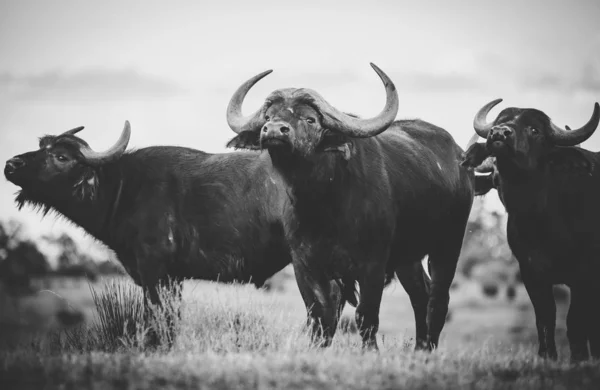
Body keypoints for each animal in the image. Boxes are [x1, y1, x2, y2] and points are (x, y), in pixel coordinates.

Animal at [3, 121, 346, 344]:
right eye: (41, 147)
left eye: (61, 156)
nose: (11, 164)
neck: (124, 188)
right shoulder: (172, 278)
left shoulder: (155, 270)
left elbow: (158, 320)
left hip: (309, 262)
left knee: (323, 308)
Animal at [224, 64, 474, 350]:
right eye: (267, 116)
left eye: (310, 119)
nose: (274, 130)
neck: (322, 207)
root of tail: (460, 159)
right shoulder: (305, 264)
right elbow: (320, 315)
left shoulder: (373, 263)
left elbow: (366, 315)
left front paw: (370, 351)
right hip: (407, 257)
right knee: (420, 293)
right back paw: (419, 347)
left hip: (449, 244)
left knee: (439, 298)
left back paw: (428, 347)